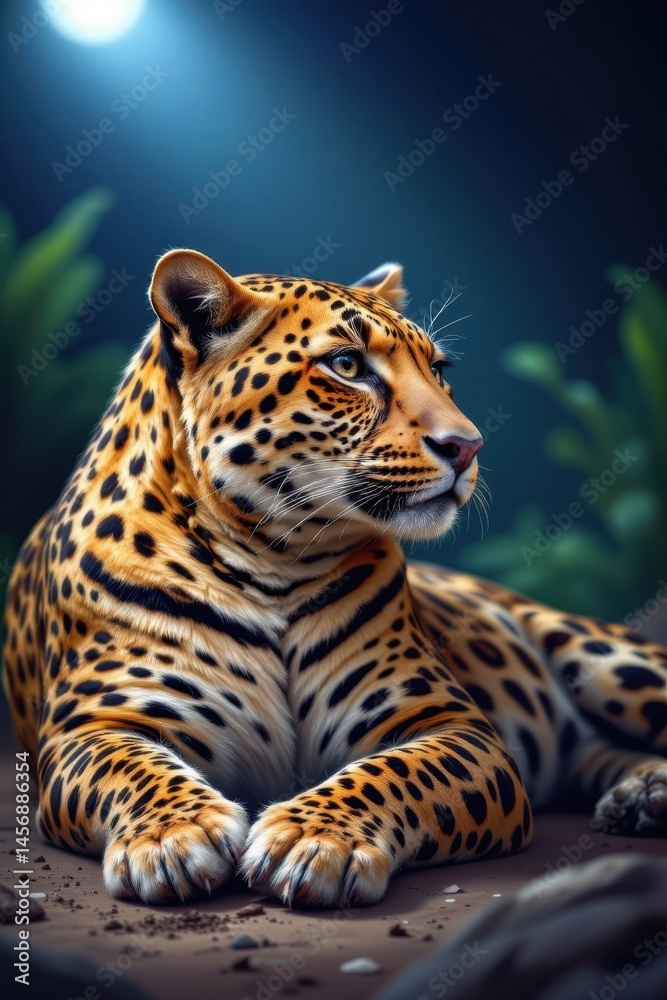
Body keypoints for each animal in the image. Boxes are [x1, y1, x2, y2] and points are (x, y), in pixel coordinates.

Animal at [3, 249, 667, 907]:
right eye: (347, 365)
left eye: (438, 369)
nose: (468, 446)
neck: (273, 559)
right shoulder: (90, 726)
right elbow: (130, 770)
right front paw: (174, 836)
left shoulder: (457, 725)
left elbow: (399, 771)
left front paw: (315, 839)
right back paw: (640, 797)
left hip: (604, 658)